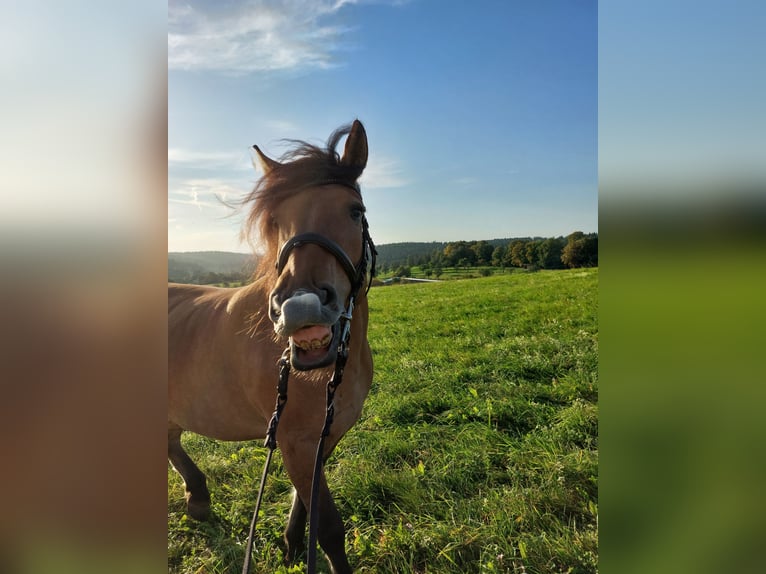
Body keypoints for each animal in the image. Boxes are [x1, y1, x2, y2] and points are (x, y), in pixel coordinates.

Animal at [172, 119, 380, 572]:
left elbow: (304, 503)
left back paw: (198, 497)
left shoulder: (320, 439)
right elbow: (329, 528)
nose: (299, 308)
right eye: (274, 221)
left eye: (355, 211)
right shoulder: (295, 441)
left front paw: (290, 544)